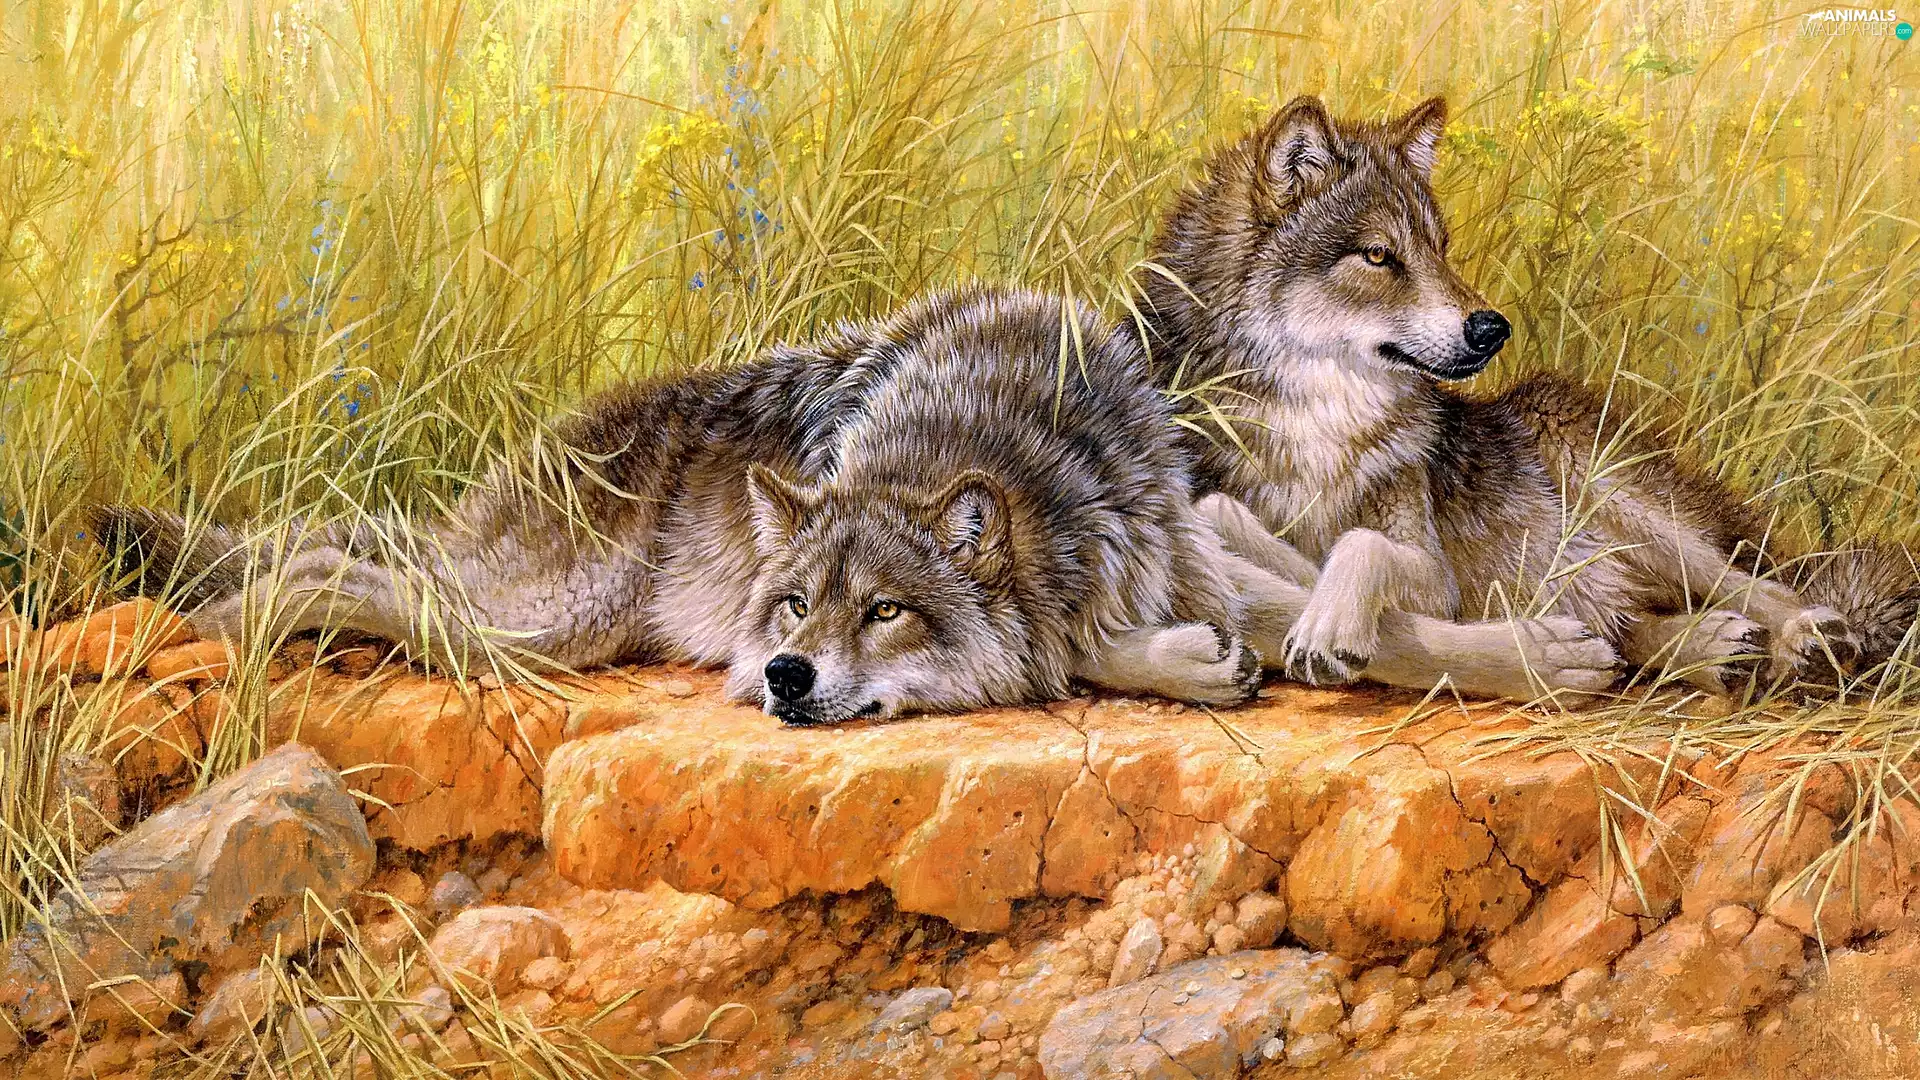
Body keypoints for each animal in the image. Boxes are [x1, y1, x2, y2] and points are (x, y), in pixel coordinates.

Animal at [1143, 94, 1920, 694]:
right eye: (1378, 255)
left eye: (1441, 250)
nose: (1492, 328)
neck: (1317, 420)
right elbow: (1232, 520)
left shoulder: (1436, 577)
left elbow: (1359, 543)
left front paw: (1330, 625)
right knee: (1630, 628)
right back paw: (1715, 650)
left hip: (1605, 482)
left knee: (1765, 586)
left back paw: (1803, 639)